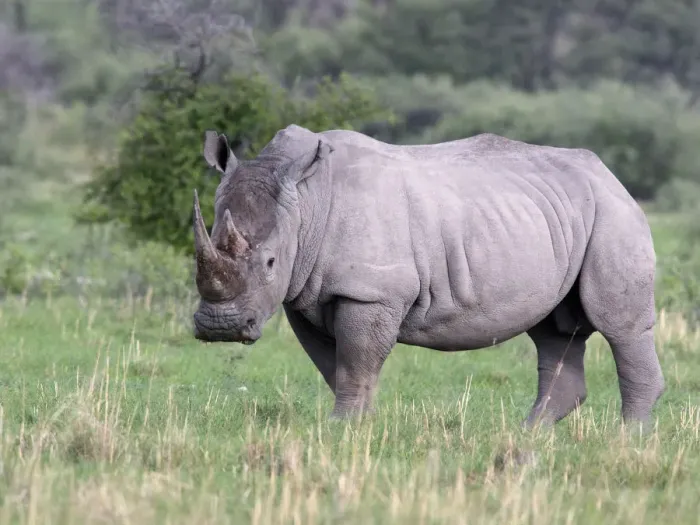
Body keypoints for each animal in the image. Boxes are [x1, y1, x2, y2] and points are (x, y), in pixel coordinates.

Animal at [192, 124, 665, 428]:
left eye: (271, 263)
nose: (220, 328)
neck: (306, 201)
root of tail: (609, 174)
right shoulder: (305, 297)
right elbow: (336, 367)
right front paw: (359, 427)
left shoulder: (371, 292)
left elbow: (355, 362)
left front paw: (341, 431)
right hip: (555, 217)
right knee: (553, 330)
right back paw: (527, 436)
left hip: (613, 212)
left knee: (618, 326)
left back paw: (627, 441)